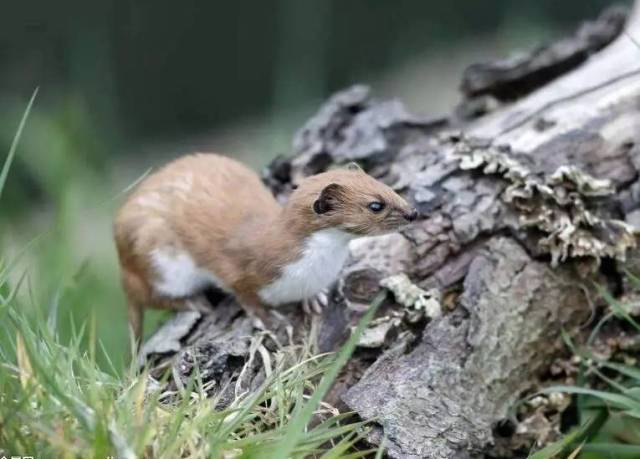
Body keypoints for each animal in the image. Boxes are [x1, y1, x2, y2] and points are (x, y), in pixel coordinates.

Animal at [113, 154, 418, 342]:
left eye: (386, 185)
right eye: (375, 205)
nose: (413, 212)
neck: (314, 269)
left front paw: (313, 298)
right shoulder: (237, 269)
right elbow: (243, 293)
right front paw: (267, 318)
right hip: (158, 258)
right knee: (148, 294)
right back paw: (193, 301)